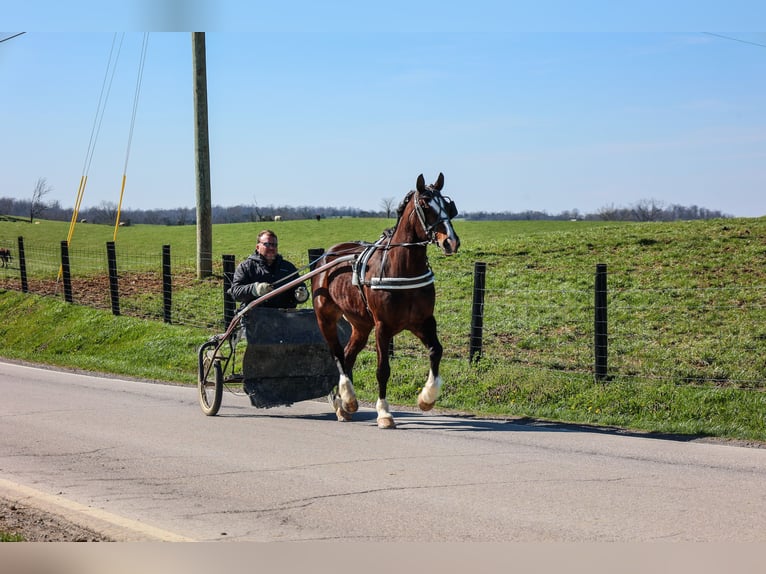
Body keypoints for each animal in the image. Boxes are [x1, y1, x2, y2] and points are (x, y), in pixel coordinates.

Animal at [314, 173, 462, 430]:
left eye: (447, 205)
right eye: (425, 205)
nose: (450, 242)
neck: (402, 268)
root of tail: (327, 256)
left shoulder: (423, 321)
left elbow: (436, 351)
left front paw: (427, 398)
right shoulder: (383, 327)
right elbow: (383, 369)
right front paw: (384, 412)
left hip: (361, 325)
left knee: (348, 356)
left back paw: (342, 403)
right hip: (326, 318)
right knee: (338, 355)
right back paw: (347, 399)